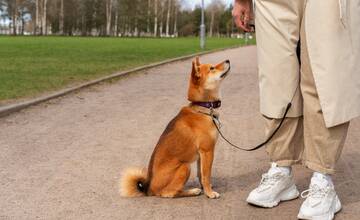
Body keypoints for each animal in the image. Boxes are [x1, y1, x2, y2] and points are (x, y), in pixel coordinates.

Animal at [119, 56, 229, 199]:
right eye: (212, 68)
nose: (228, 60)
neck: (203, 108)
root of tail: (149, 189)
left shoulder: (201, 155)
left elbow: (201, 174)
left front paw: (205, 188)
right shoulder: (207, 151)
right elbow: (206, 175)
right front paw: (209, 193)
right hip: (185, 167)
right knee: (169, 193)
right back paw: (192, 191)